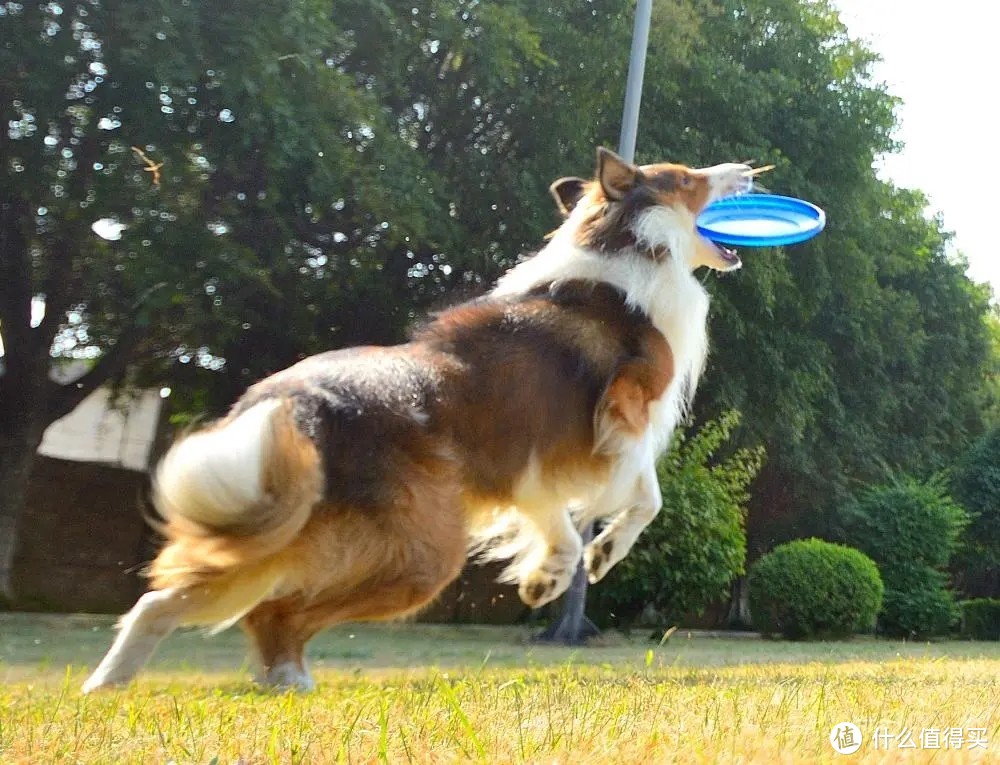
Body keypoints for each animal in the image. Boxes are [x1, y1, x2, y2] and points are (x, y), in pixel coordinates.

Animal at [84, 146, 752, 688]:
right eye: (688, 178)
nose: (749, 169)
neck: (631, 245)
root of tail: (295, 400)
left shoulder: (533, 461)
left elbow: (563, 516)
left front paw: (549, 576)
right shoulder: (618, 420)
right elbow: (646, 496)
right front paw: (599, 554)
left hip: (286, 519)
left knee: (202, 599)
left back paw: (126, 682)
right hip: (416, 552)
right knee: (275, 605)